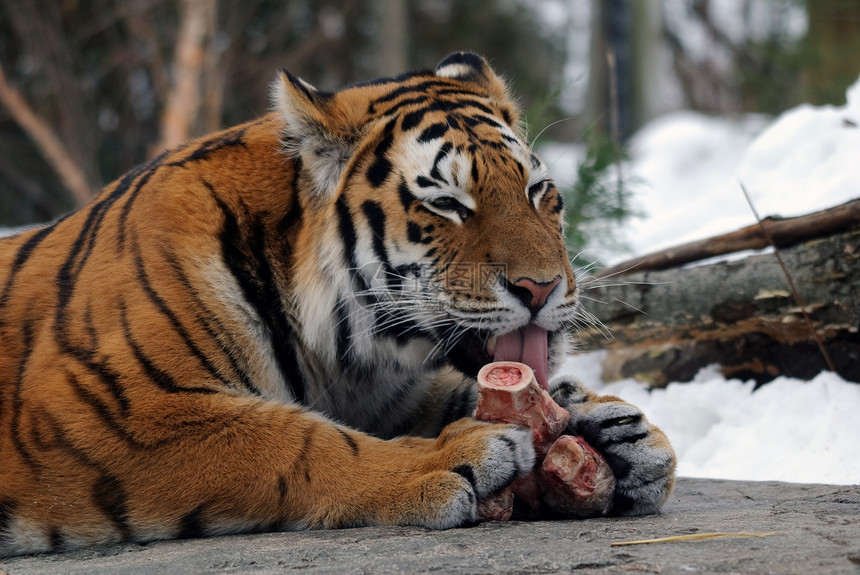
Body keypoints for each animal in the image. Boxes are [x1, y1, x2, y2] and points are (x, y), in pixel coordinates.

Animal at [0, 53, 672, 560]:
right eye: (447, 203)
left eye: (538, 190)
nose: (542, 287)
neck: (340, 353)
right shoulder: (106, 409)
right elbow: (296, 441)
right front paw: (450, 457)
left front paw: (613, 426)